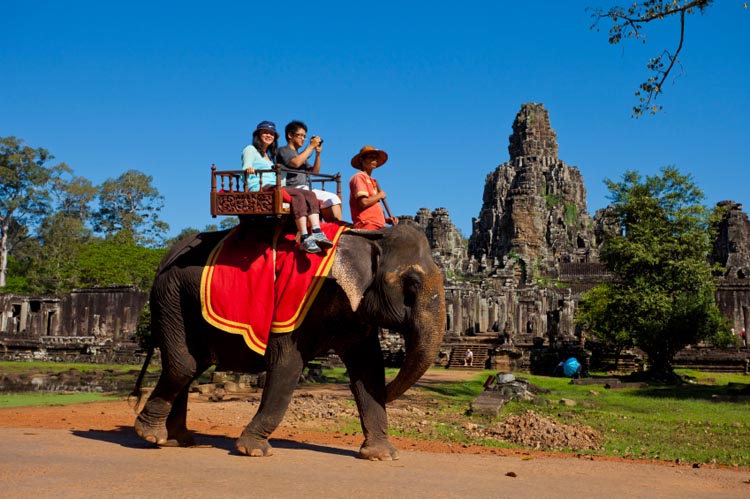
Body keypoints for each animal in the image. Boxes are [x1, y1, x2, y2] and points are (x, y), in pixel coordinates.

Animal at [132, 221, 446, 462]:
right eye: (413, 283)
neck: (366, 236)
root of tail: (164, 257)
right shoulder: (295, 303)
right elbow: (287, 365)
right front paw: (253, 450)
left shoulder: (354, 311)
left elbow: (369, 370)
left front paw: (382, 455)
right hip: (170, 298)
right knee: (183, 365)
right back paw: (150, 434)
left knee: (191, 365)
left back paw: (178, 439)